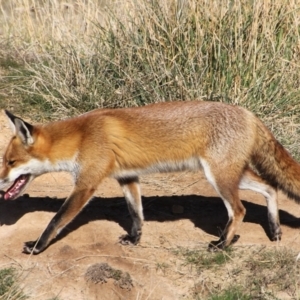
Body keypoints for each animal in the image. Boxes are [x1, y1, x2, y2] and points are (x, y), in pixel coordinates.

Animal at [0, 101, 296, 253]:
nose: (0, 181)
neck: (81, 137)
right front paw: (135, 239)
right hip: (231, 175)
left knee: (240, 209)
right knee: (270, 187)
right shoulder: (127, 178)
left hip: (219, 178)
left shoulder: (86, 184)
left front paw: (38, 246)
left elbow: (55, 220)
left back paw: (223, 243)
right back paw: (275, 229)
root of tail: (248, 113)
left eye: (10, 162)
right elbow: (136, 214)